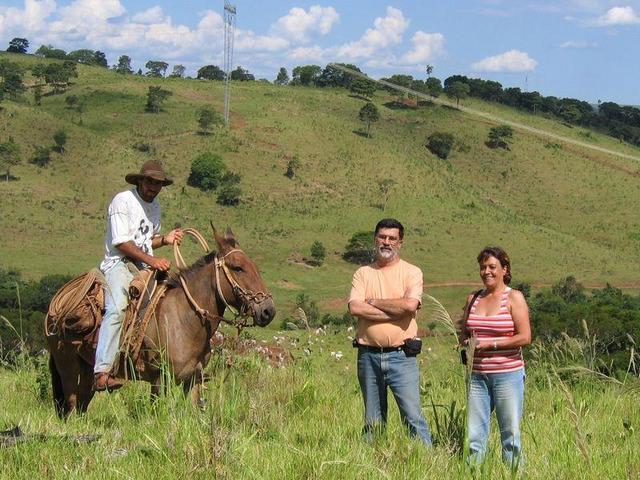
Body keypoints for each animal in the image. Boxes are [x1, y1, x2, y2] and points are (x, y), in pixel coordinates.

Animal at [45, 227, 276, 418]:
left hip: (85, 370)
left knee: (81, 406)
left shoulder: (194, 380)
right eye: (238, 268)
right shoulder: (159, 378)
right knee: (71, 406)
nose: (268, 311)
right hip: (68, 367)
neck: (184, 320)